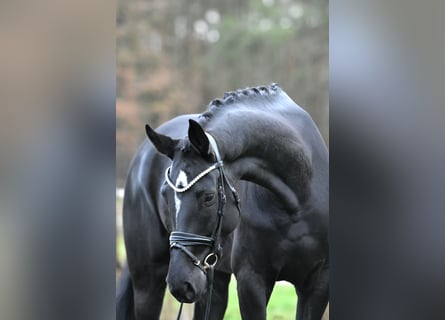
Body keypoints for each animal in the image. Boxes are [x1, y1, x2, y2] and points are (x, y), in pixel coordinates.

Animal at [116, 84, 328, 318]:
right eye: (165, 195)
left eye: (208, 197)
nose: (180, 283)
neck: (297, 200)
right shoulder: (251, 280)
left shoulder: (317, 284)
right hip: (149, 281)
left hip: (211, 280)